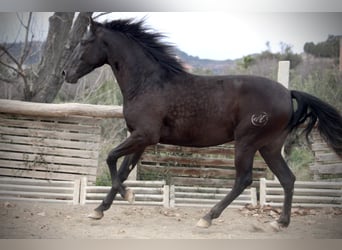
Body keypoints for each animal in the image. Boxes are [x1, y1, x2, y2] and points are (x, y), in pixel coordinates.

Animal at [62, 17, 340, 229]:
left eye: (84, 42)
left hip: (247, 142)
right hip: (269, 147)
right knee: (288, 179)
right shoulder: (139, 139)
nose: (66, 73)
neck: (147, 83)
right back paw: (280, 223)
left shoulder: (144, 135)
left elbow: (111, 158)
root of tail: (287, 93)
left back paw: (207, 217)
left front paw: (127, 195)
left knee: (245, 179)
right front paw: (100, 209)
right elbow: (121, 170)